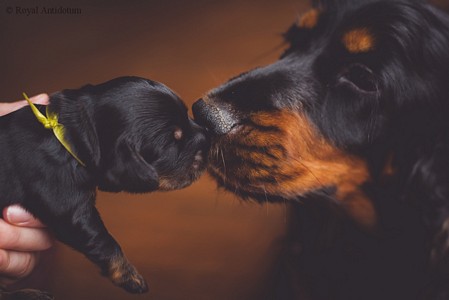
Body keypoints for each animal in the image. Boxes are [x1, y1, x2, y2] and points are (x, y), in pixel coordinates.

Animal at [0, 76, 208, 296]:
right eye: (173, 141)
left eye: (187, 116)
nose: (207, 136)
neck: (69, 134)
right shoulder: (67, 204)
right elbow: (104, 241)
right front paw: (130, 277)